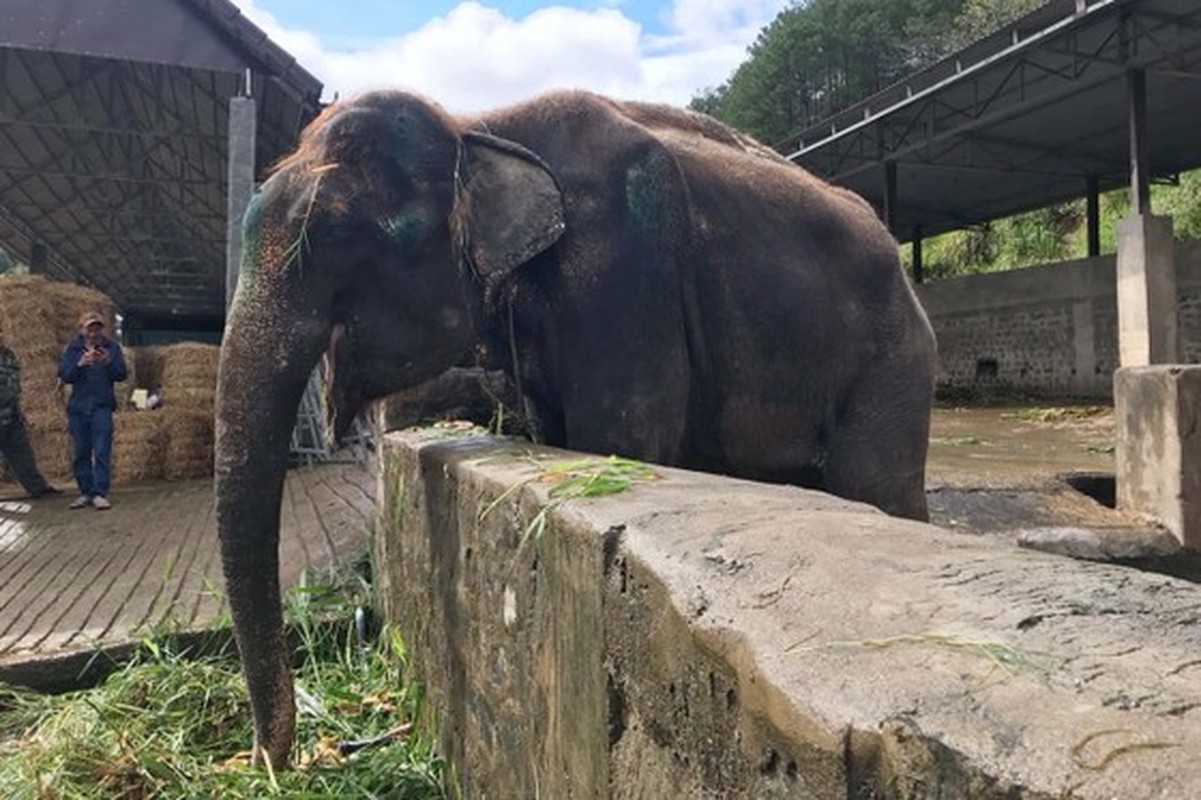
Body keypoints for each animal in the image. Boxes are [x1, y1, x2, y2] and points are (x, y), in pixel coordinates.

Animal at [211, 88, 931, 768]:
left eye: (333, 235)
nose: (273, 762)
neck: (475, 123)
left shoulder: (621, 269)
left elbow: (623, 441)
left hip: (892, 362)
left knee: (880, 485)